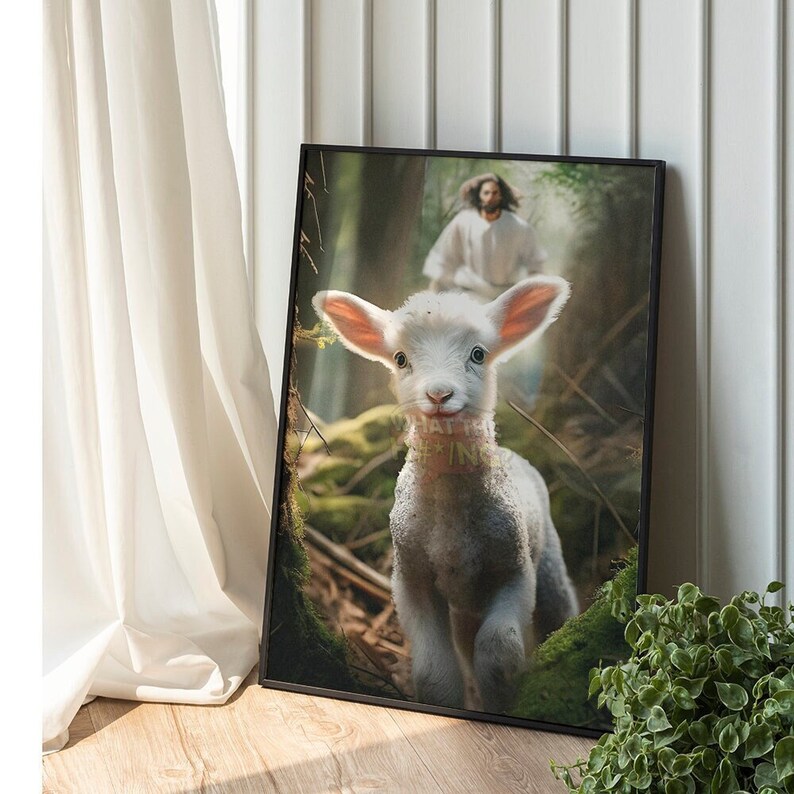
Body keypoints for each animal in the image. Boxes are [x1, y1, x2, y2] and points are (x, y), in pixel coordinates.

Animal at [312, 275, 579, 714]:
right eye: (401, 358)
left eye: (478, 354)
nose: (439, 395)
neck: (453, 529)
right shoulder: (411, 578)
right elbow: (434, 672)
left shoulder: (514, 569)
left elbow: (499, 650)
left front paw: (505, 698)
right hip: (465, 604)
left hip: (550, 561)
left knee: (558, 611)